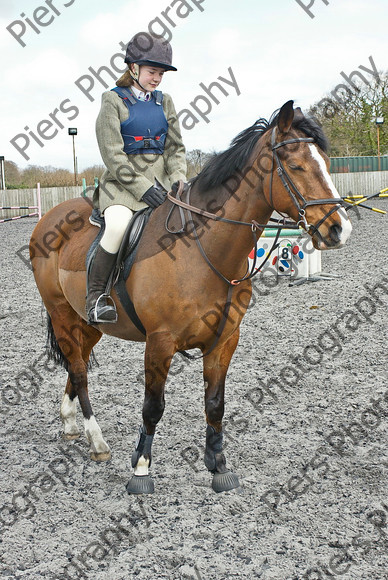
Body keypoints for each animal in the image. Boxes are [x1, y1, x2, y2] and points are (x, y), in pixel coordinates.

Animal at [30, 99, 352, 494]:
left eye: (326, 161)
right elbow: (153, 406)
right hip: (61, 313)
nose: (339, 229)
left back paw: (71, 424)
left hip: (87, 323)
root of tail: (50, 218)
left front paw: (219, 466)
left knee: (77, 367)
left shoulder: (224, 340)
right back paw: (97, 440)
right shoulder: (160, 342)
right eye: (295, 166)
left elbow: (215, 404)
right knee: (78, 370)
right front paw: (141, 469)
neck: (203, 249)